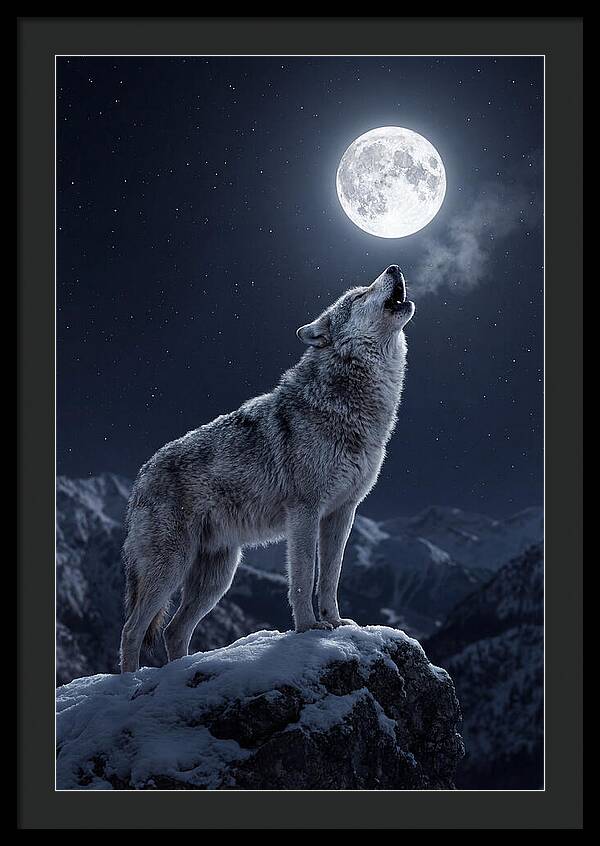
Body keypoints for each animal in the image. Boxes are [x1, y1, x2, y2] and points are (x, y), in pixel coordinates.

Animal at [119, 264, 415, 672]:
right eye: (359, 295)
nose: (394, 268)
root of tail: (141, 476)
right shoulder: (304, 512)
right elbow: (303, 577)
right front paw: (308, 628)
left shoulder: (342, 513)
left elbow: (330, 577)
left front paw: (336, 622)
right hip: (169, 569)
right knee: (132, 630)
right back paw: (129, 682)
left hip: (218, 577)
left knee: (172, 631)